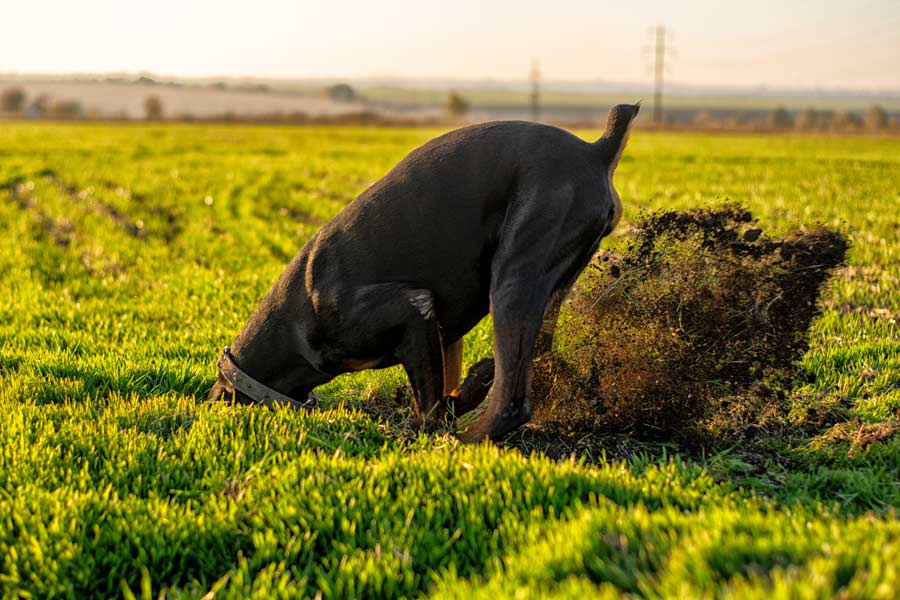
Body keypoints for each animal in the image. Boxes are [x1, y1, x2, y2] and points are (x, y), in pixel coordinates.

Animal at [209, 103, 640, 440]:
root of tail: (596, 152)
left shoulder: (413, 306)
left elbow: (430, 405)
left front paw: (426, 430)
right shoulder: (442, 331)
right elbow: (443, 385)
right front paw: (458, 396)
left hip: (514, 278)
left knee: (512, 402)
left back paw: (468, 439)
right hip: (553, 283)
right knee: (537, 360)